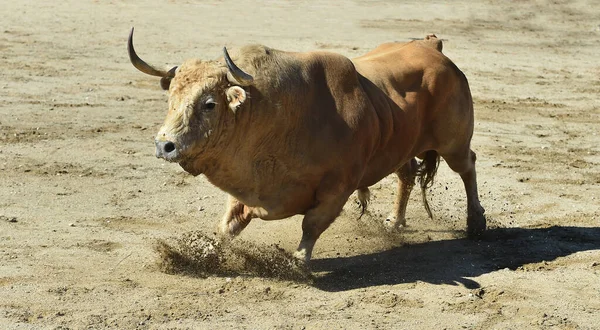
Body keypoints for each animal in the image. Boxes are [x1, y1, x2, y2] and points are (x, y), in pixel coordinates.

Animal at [126, 28, 482, 262]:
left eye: (210, 104)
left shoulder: (337, 189)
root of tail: (433, 47)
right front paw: (207, 253)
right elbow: (228, 226)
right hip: (402, 147)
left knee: (468, 166)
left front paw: (297, 262)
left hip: (453, 143)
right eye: (171, 98)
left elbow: (311, 226)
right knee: (407, 176)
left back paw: (475, 223)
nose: (165, 145)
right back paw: (395, 223)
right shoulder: (247, 188)